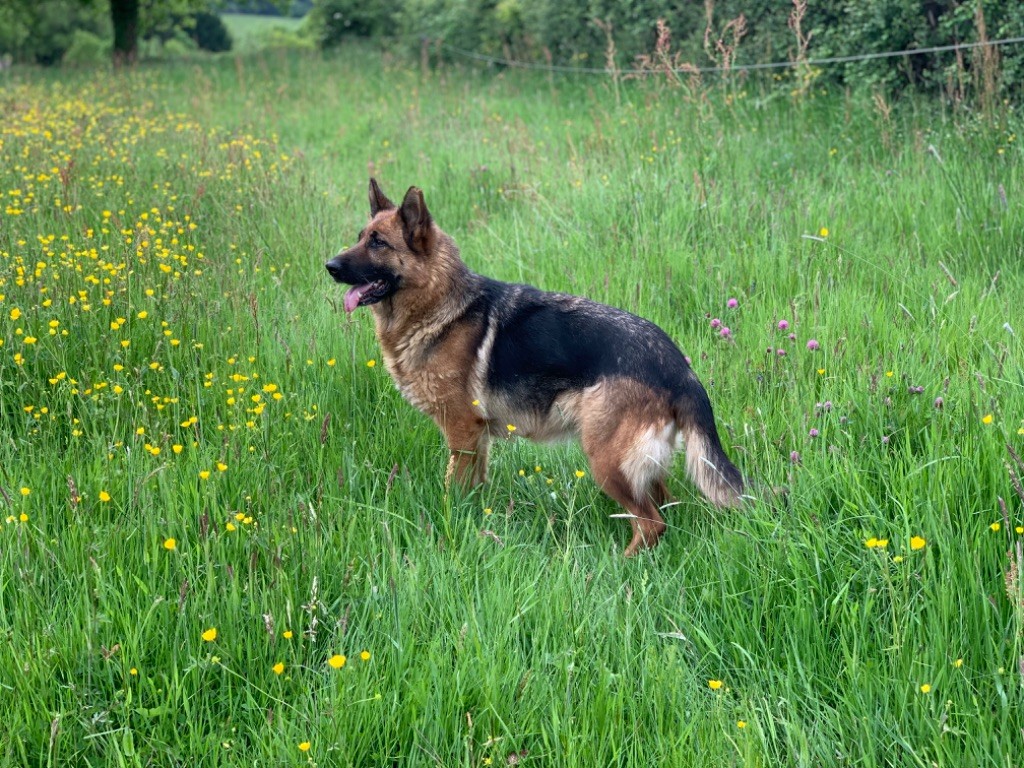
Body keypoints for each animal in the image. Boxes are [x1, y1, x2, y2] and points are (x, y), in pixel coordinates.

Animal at [325, 180, 745, 557]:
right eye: (360, 237)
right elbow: (474, 487)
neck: (440, 302)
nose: (329, 265)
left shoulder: (462, 431)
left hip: (607, 461)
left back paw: (620, 565)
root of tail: (677, 366)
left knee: (651, 521)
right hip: (639, 464)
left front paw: (449, 522)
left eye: (378, 243)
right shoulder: (478, 439)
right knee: (664, 509)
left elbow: (451, 489)